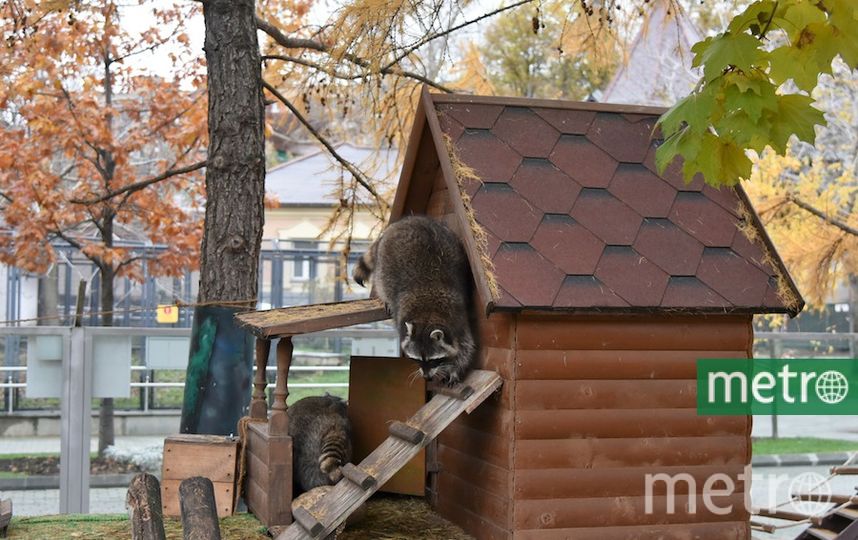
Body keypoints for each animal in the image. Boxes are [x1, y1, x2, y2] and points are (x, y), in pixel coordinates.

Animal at [352, 213, 478, 386]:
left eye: (433, 360)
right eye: (417, 359)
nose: (427, 377)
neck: (428, 315)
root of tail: (406, 221)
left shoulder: (458, 320)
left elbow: (466, 348)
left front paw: (455, 369)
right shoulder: (402, 319)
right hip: (384, 262)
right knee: (382, 282)